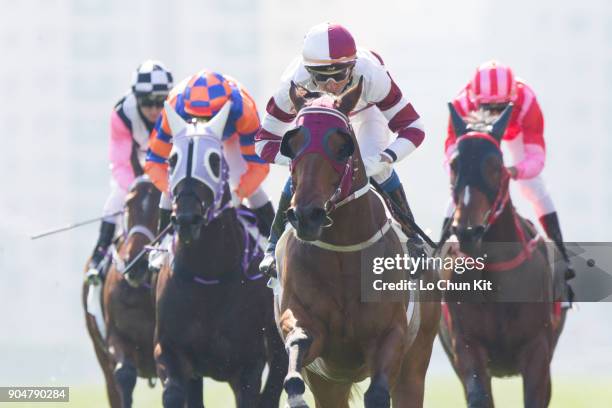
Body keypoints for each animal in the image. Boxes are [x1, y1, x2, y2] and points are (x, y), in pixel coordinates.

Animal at [153, 100, 286, 406]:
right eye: (172, 160)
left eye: (214, 161)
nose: (187, 219)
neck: (208, 275)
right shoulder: (171, 352)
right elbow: (174, 393)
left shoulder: (248, 365)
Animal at [274, 78, 440, 406]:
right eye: (292, 145)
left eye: (343, 146)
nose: (307, 216)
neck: (343, 253)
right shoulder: (312, 340)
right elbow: (295, 365)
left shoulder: (390, 337)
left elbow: (377, 393)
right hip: (331, 383)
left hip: (415, 365)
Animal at [438, 103, 568, 406]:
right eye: (454, 164)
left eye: (495, 166)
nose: (468, 231)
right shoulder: (467, 346)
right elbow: (479, 396)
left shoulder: (537, 350)